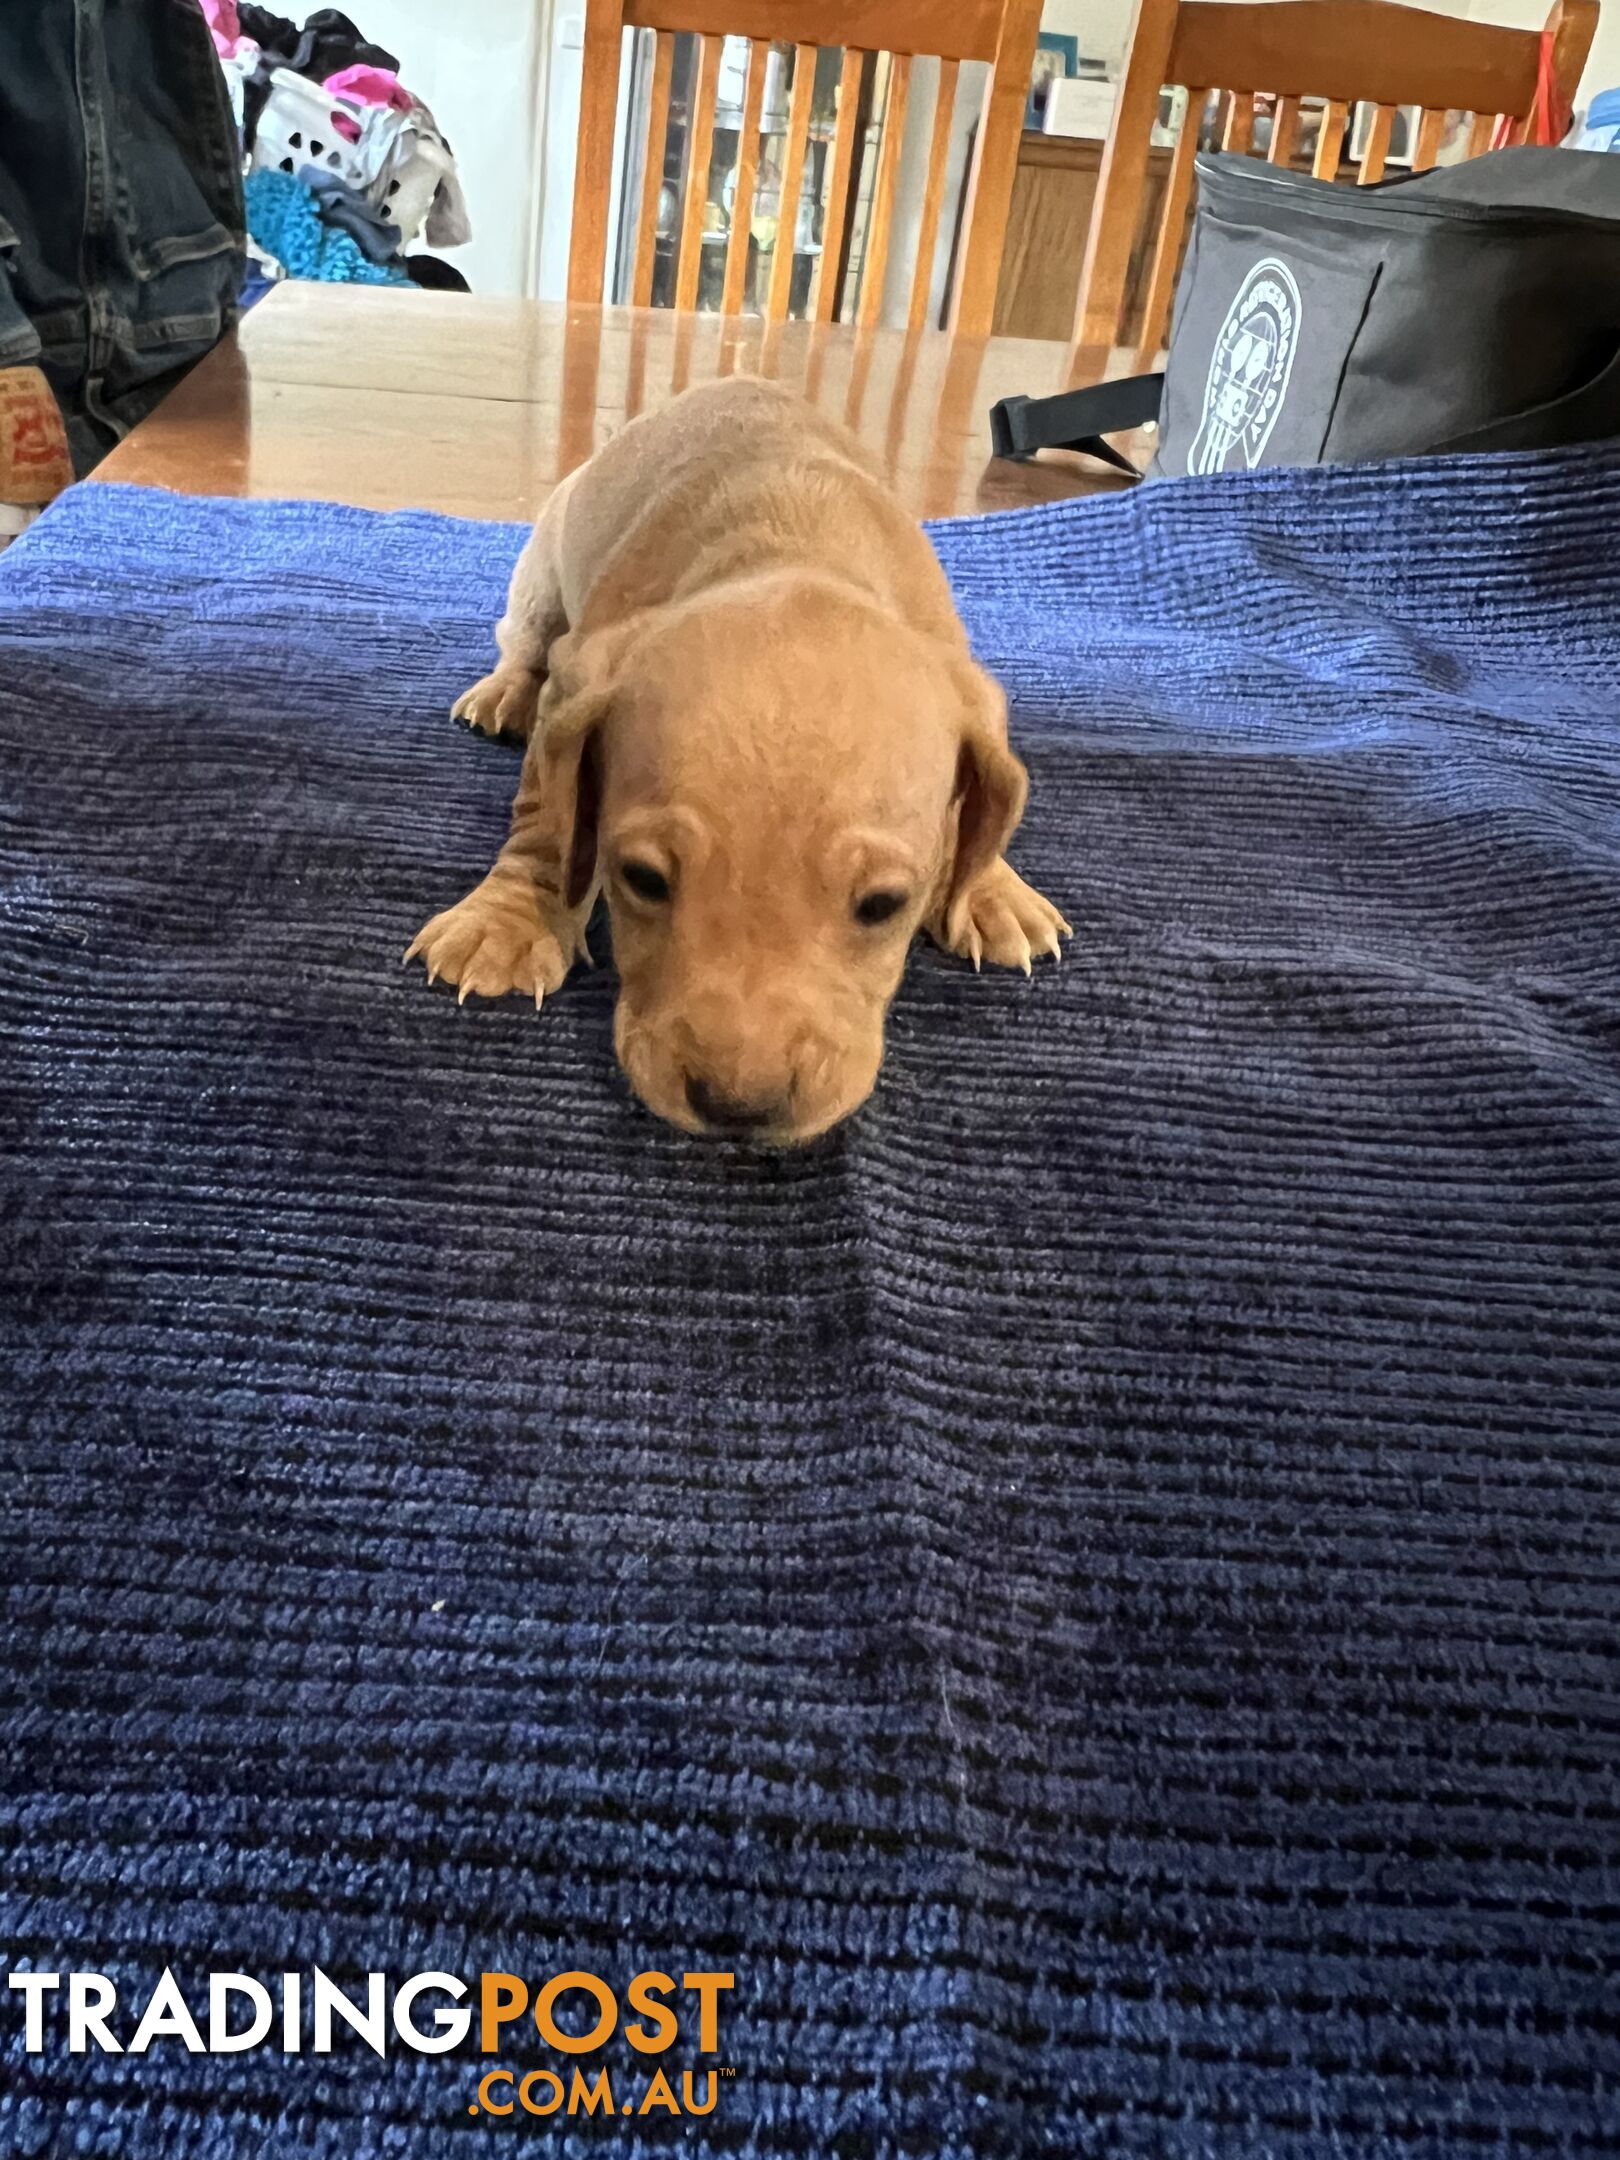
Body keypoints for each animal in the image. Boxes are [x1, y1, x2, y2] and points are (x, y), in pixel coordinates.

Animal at [406, 378, 1071, 1140]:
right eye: (641, 878)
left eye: (884, 905)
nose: (738, 1108)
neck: (794, 548)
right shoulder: (579, 678)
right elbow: (548, 816)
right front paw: (509, 922)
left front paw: (991, 888)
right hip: (542, 565)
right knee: (524, 641)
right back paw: (506, 692)